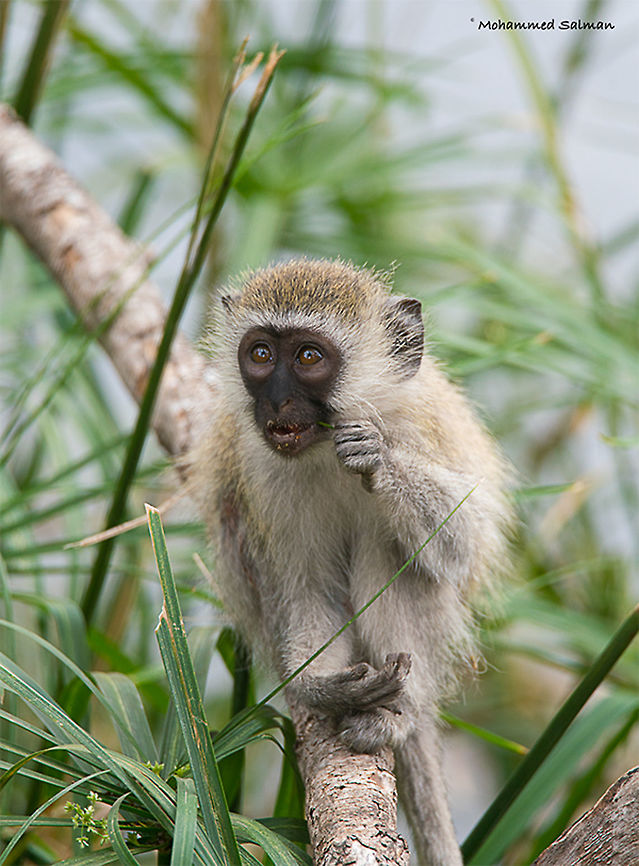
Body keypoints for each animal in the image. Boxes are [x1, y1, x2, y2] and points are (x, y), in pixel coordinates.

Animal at [190, 258, 511, 866]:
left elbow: (464, 542)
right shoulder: (264, 472)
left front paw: (378, 460)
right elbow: (306, 588)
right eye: (261, 354)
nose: (277, 402)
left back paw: (400, 718)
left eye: (308, 358)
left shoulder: (418, 425)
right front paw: (322, 688)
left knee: (391, 550)